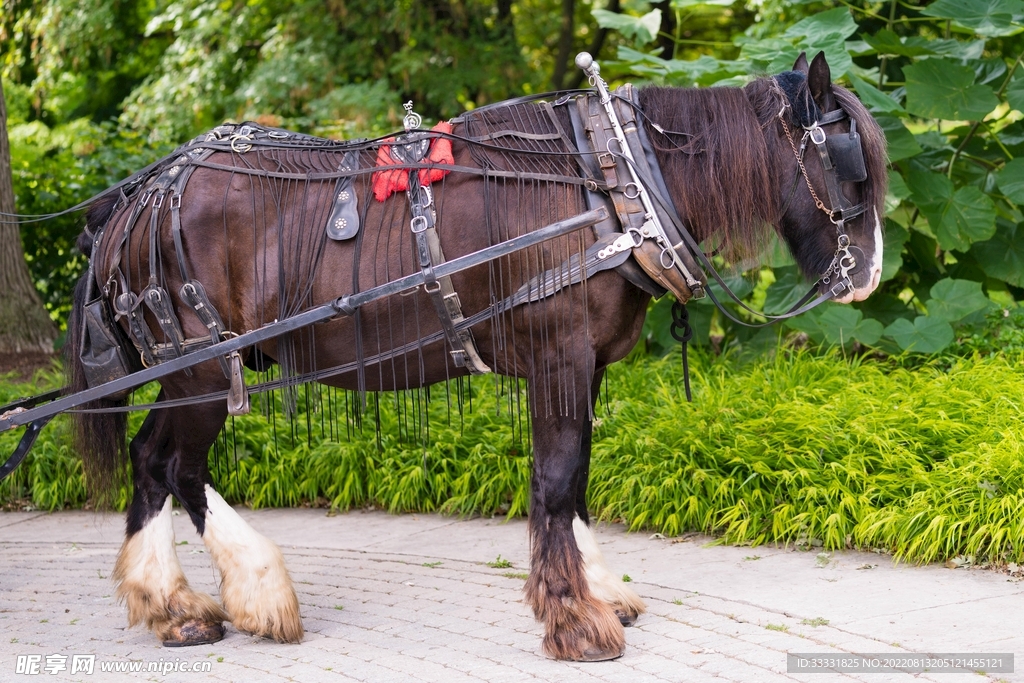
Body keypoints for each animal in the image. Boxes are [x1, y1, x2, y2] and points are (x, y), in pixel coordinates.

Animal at [63, 52, 886, 662]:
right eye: (850, 169)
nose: (869, 276)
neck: (609, 180)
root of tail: (134, 200)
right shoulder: (559, 356)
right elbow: (554, 482)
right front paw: (575, 620)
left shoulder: (586, 366)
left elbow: (577, 482)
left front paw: (598, 590)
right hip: (198, 368)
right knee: (167, 463)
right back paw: (218, 598)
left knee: (165, 465)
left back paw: (203, 601)